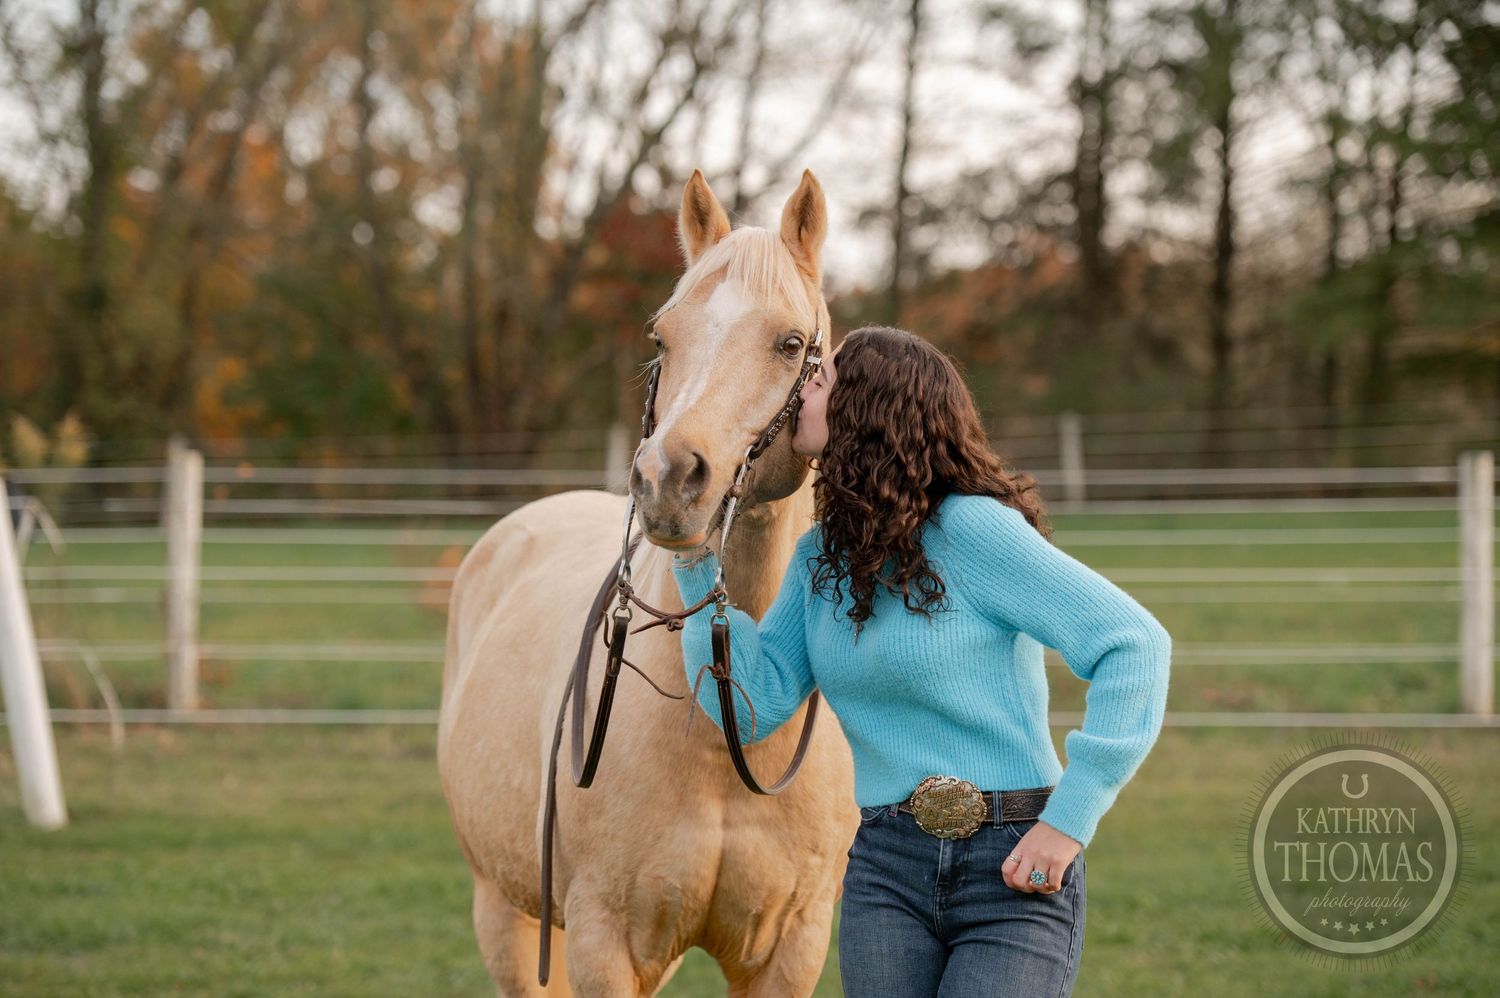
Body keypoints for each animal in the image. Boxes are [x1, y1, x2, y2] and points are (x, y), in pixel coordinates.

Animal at [438, 169, 857, 996]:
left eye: (791, 343)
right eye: (663, 337)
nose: (667, 478)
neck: (727, 737)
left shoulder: (788, 949)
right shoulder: (607, 940)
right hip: (504, 911)